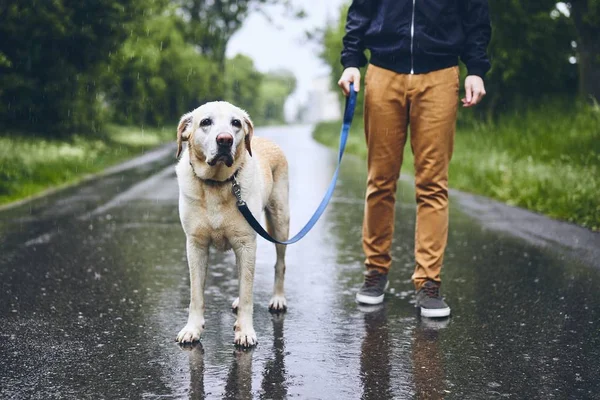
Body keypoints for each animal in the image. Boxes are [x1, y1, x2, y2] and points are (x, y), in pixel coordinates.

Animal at [173, 101, 288, 346]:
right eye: (206, 122)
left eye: (236, 123)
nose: (225, 140)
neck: (217, 184)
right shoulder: (195, 245)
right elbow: (196, 294)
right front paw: (192, 329)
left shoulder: (246, 243)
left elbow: (247, 294)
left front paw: (245, 331)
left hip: (280, 222)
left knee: (279, 264)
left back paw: (278, 299)